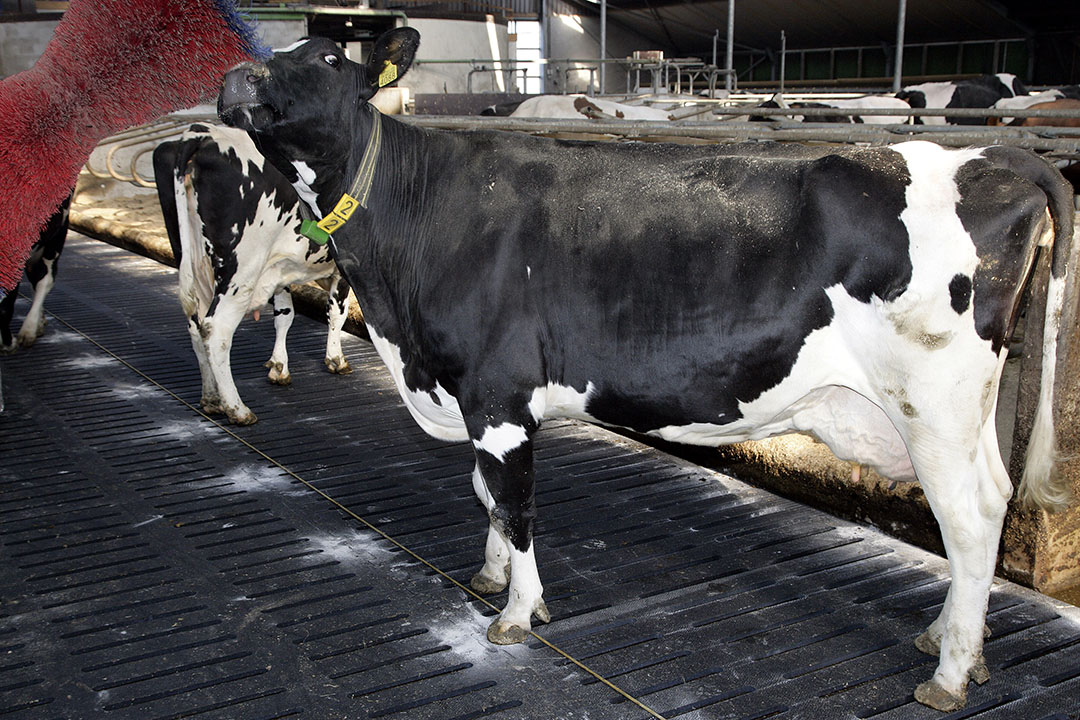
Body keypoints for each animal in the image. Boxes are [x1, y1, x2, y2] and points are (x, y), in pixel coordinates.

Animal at [152, 124, 352, 427]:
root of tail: (201, 134)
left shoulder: (279, 268)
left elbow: (285, 316)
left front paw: (278, 367)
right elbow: (337, 313)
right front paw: (336, 359)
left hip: (194, 264)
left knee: (195, 325)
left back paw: (212, 399)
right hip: (240, 269)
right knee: (216, 329)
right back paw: (238, 409)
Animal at [219, 31, 1071, 712]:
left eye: (329, 58)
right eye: (278, 52)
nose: (236, 80)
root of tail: (995, 155)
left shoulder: (497, 395)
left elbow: (514, 505)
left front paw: (517, 613)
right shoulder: (472, 398)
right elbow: (484, 495)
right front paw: (490, 576)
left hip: (935, 402)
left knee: (971, 519)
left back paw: (950, 672)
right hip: (961, 406)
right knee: (985, 509)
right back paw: (948, 639)